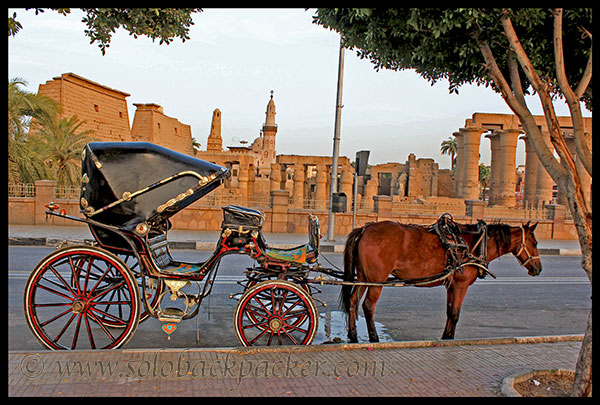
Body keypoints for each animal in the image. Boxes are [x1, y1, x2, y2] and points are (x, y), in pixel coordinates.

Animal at [340, 219, 540, 342]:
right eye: (535, 243)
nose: (538, 268)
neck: (474, 244)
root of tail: (365, 229)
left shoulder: (452, 286)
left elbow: (450, 312)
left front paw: (446, 337)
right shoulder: (461, 285)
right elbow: (455, 314)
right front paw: (449, 337)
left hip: (364, 277)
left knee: (353, 301)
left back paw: (353, 335)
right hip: (377, 280)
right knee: (368, 306)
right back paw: (373, 337)